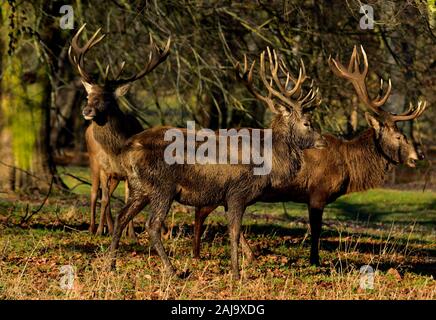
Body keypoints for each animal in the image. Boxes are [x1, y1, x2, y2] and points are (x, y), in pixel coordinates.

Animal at [68, 24, 170, 238]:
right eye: (88, 96)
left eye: (106, 98)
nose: (87, 110)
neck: (116, 148)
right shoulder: (105, 167)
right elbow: (105, 199)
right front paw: (101, 230)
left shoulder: (128, 171)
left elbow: (126, 199)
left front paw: (129, 233)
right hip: (93, 162)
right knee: (95, 193)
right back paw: (94, 227)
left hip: (114, 175)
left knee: (108, 194)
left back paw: (111, 226)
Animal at [109, 47, 328, 278]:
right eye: (307, 123)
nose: (323, 141)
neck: (269, 163)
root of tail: (126, 149)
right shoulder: (237, 192)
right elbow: (234, 231)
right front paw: (236, 273)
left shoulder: (227, 197)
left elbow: (236, 231)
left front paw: (247, 262)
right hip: (162, 187)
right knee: (152, 225)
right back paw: (172, 271)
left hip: (138, 187)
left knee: (121, 217)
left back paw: (111, 265)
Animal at [191, 45, 426, 264]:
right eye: (398, 136)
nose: (418, 157)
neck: (348, 166)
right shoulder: (317, 192)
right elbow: (316, 229)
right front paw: (315, 260)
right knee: (205, 211)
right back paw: (205, 253)